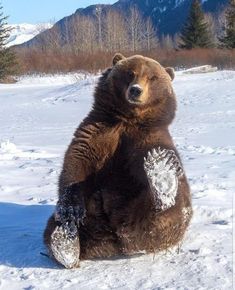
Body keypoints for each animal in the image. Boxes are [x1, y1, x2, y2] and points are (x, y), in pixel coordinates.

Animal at [44, 53, 193, 268]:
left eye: (152, 77)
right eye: (130, 73)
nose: (136, 90)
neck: (127, 119)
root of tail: (114, 241)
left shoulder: (146, 138)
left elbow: (141, 167)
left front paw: (161, 166)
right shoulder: (98, 131)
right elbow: (76, 164)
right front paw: (71, 210)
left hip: (145, 216)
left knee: (168, 214)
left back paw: (162, 177)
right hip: (91, 219)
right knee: (53, 227)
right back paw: (66, 243)